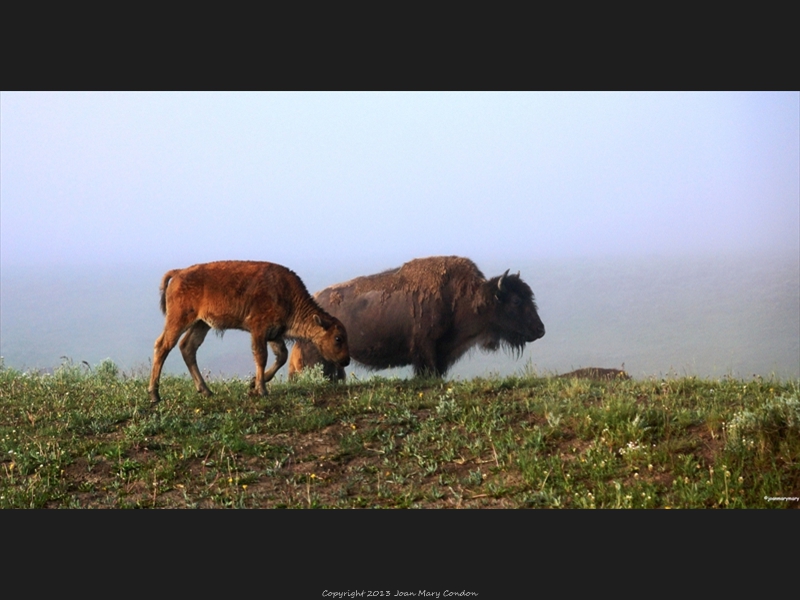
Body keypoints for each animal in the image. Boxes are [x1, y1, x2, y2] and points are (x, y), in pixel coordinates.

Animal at [148, 262, 348, 404]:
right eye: (338, 338)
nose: (345, 361)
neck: (288, 295)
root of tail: (178, 272)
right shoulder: (259, 330)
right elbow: (261, 356)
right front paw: (261, 390)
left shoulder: (274, 334)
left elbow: (281, 356)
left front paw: (253, 384)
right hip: (179, 320)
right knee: (163, 346)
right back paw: (154, 395)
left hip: (201, 324)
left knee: (188, 347)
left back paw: (206, 390)